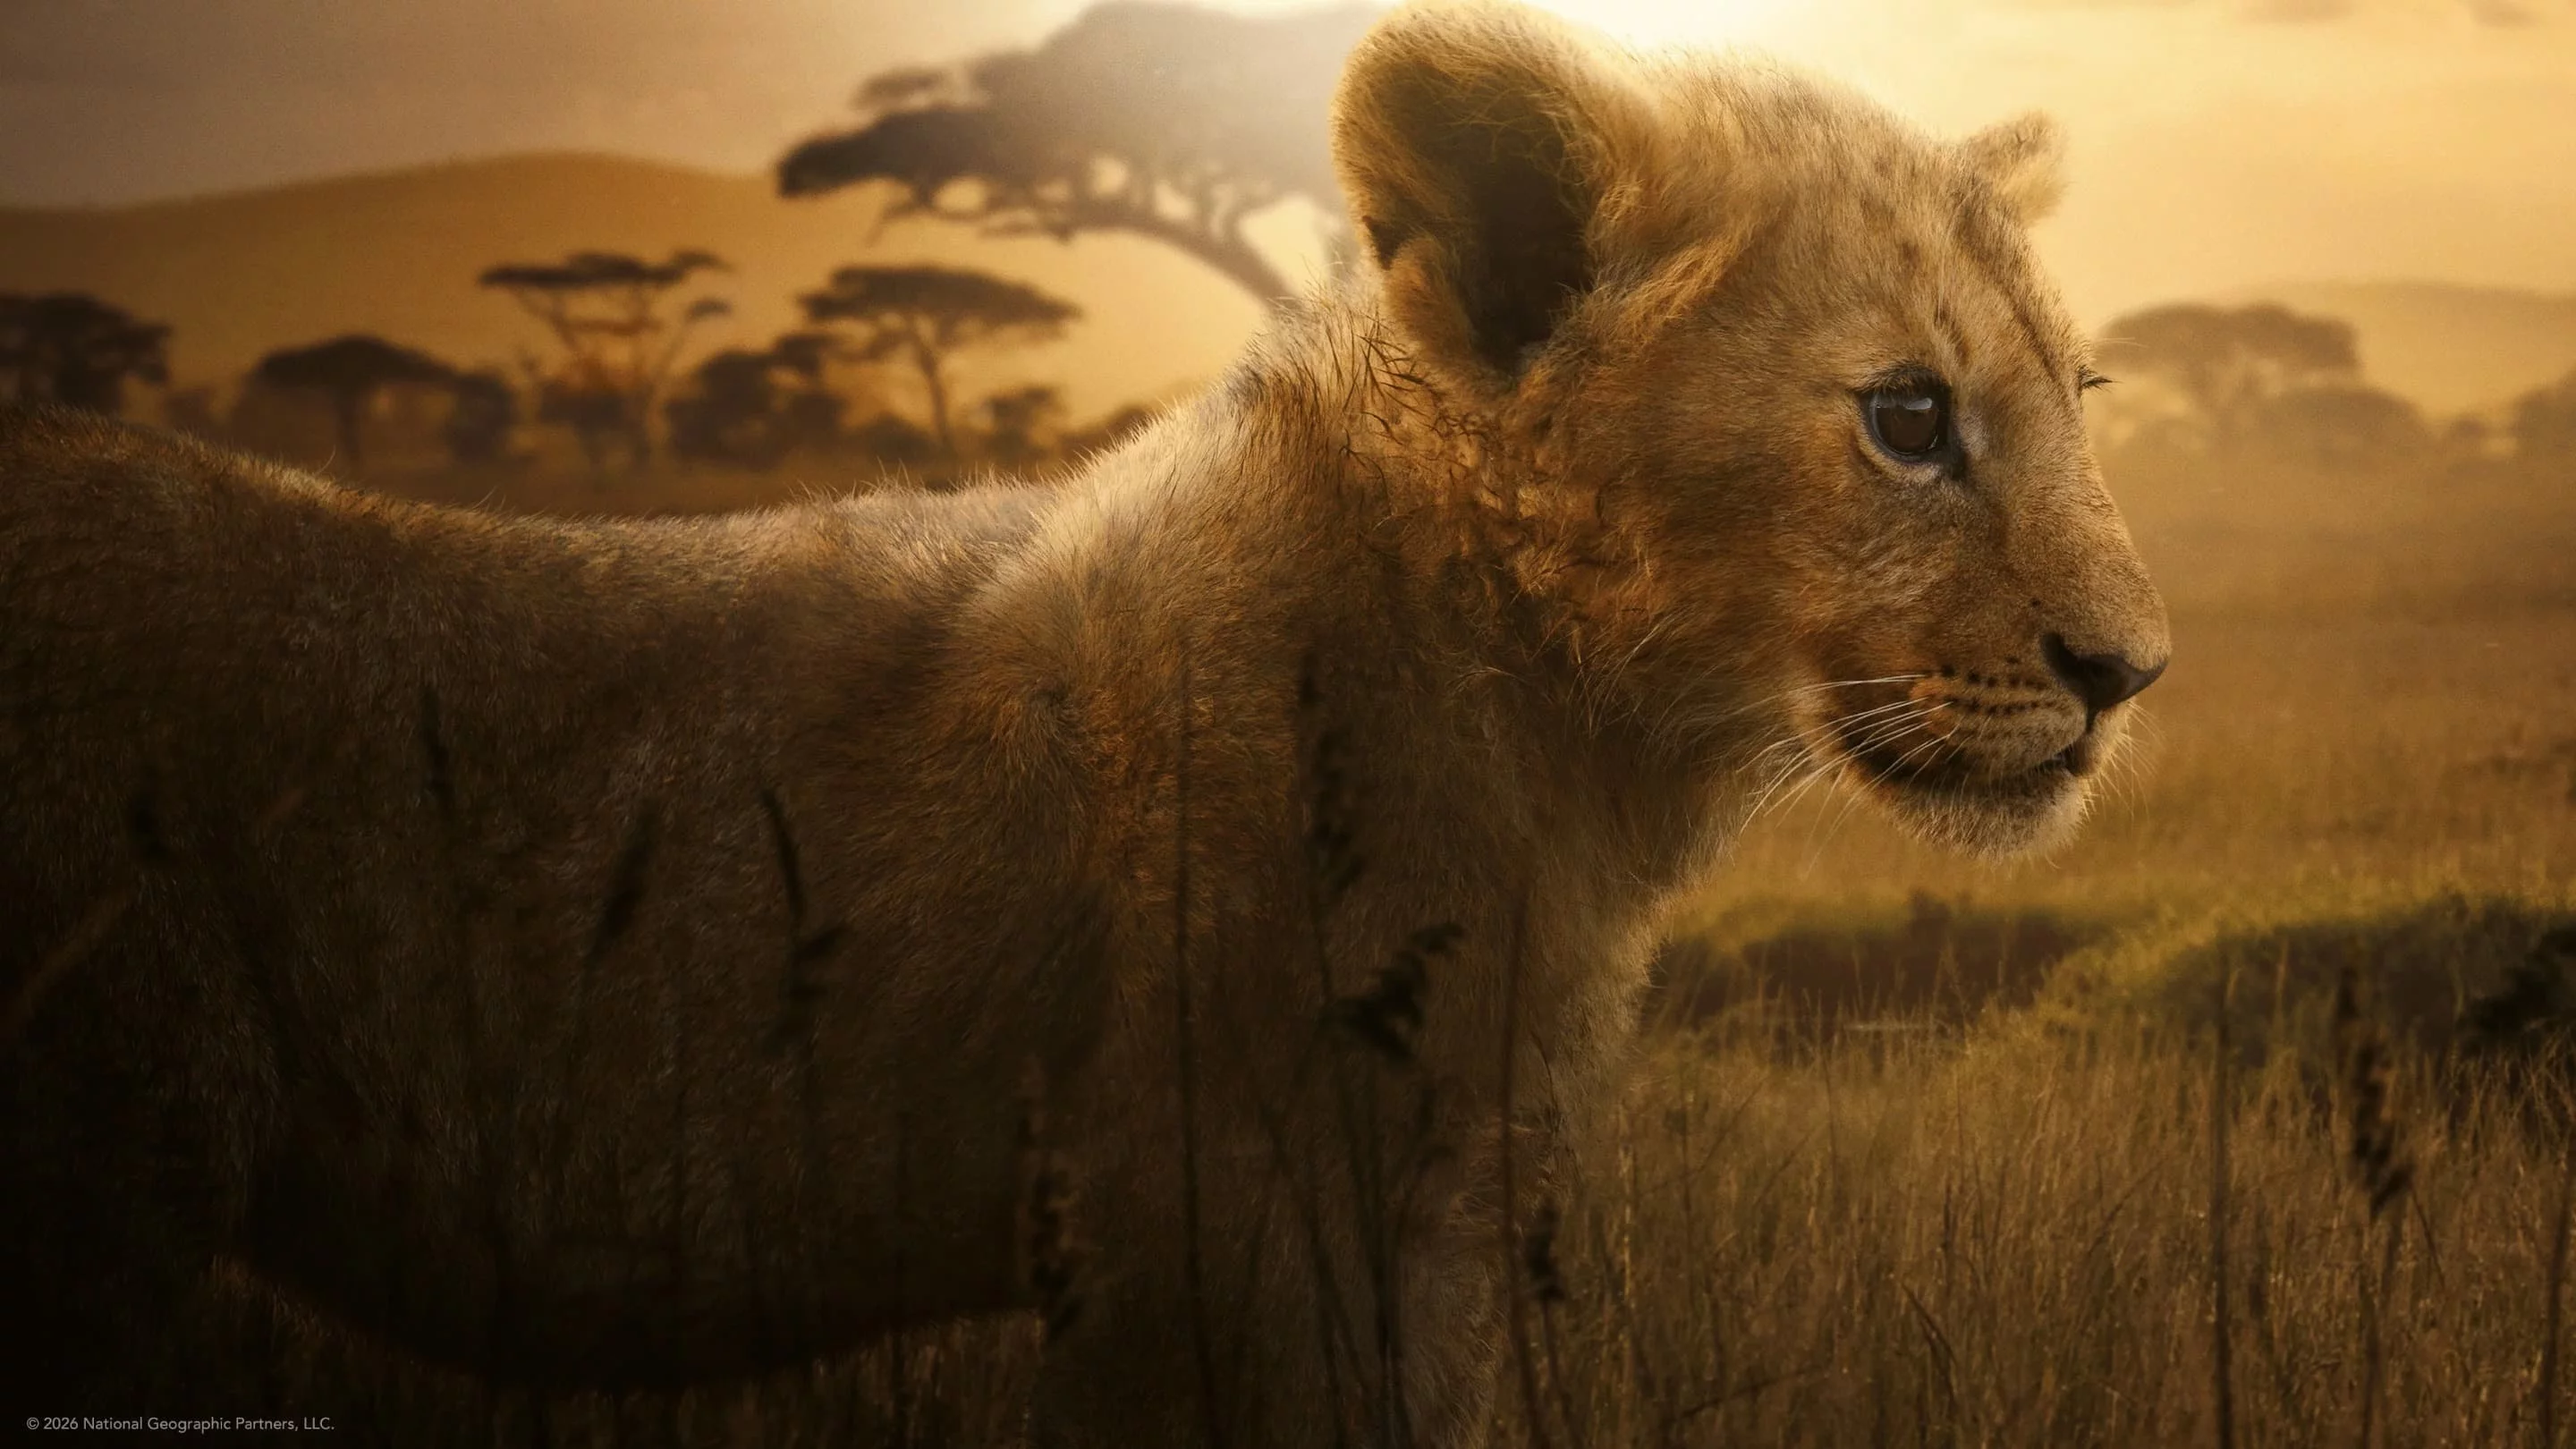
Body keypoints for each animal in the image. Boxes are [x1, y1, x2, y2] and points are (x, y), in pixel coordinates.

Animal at [0, 2, 2167, 1442]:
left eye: (2079, 394)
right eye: (1906, 417)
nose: (2132, 672)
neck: (1557, 749)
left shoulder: (1434, 1218)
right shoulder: (1204, 1234)